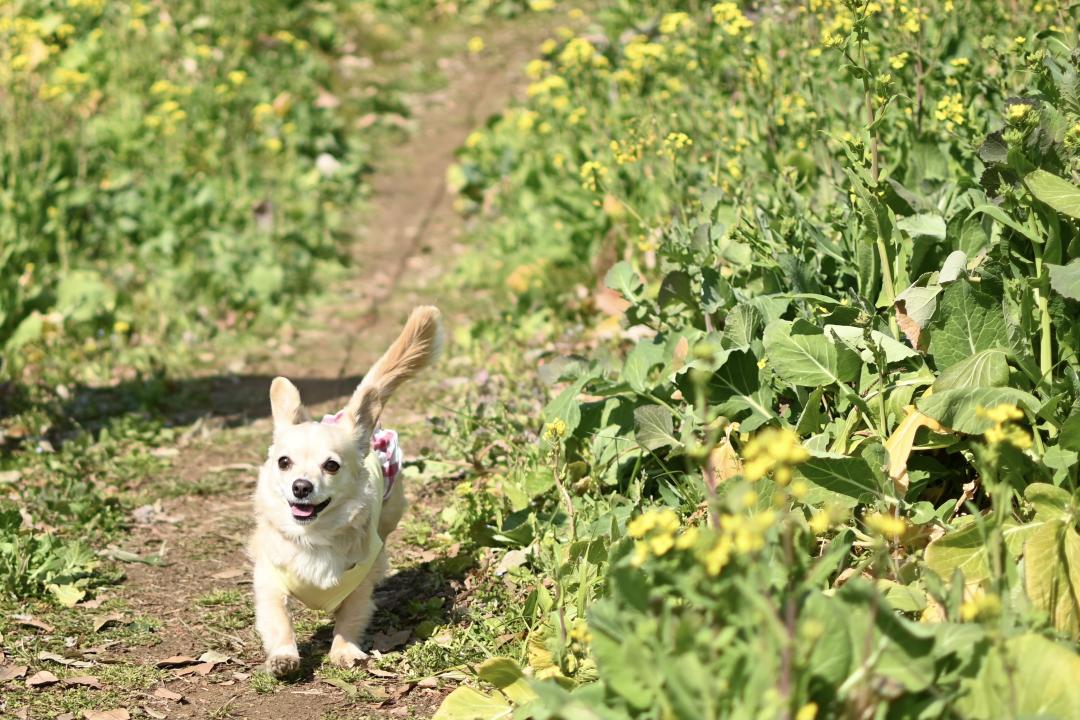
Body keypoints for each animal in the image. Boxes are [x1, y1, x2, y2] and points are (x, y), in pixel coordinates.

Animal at [250, 306, 440, 677]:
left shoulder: (359, 585)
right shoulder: (268, 581)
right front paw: (284, 656)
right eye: (284, 462)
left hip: (392, 511)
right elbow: (279, 620)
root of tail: (342, 417)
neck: (313, 537)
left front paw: (343, 651)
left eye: (331, 465)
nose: (301, 486)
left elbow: (351, 617)